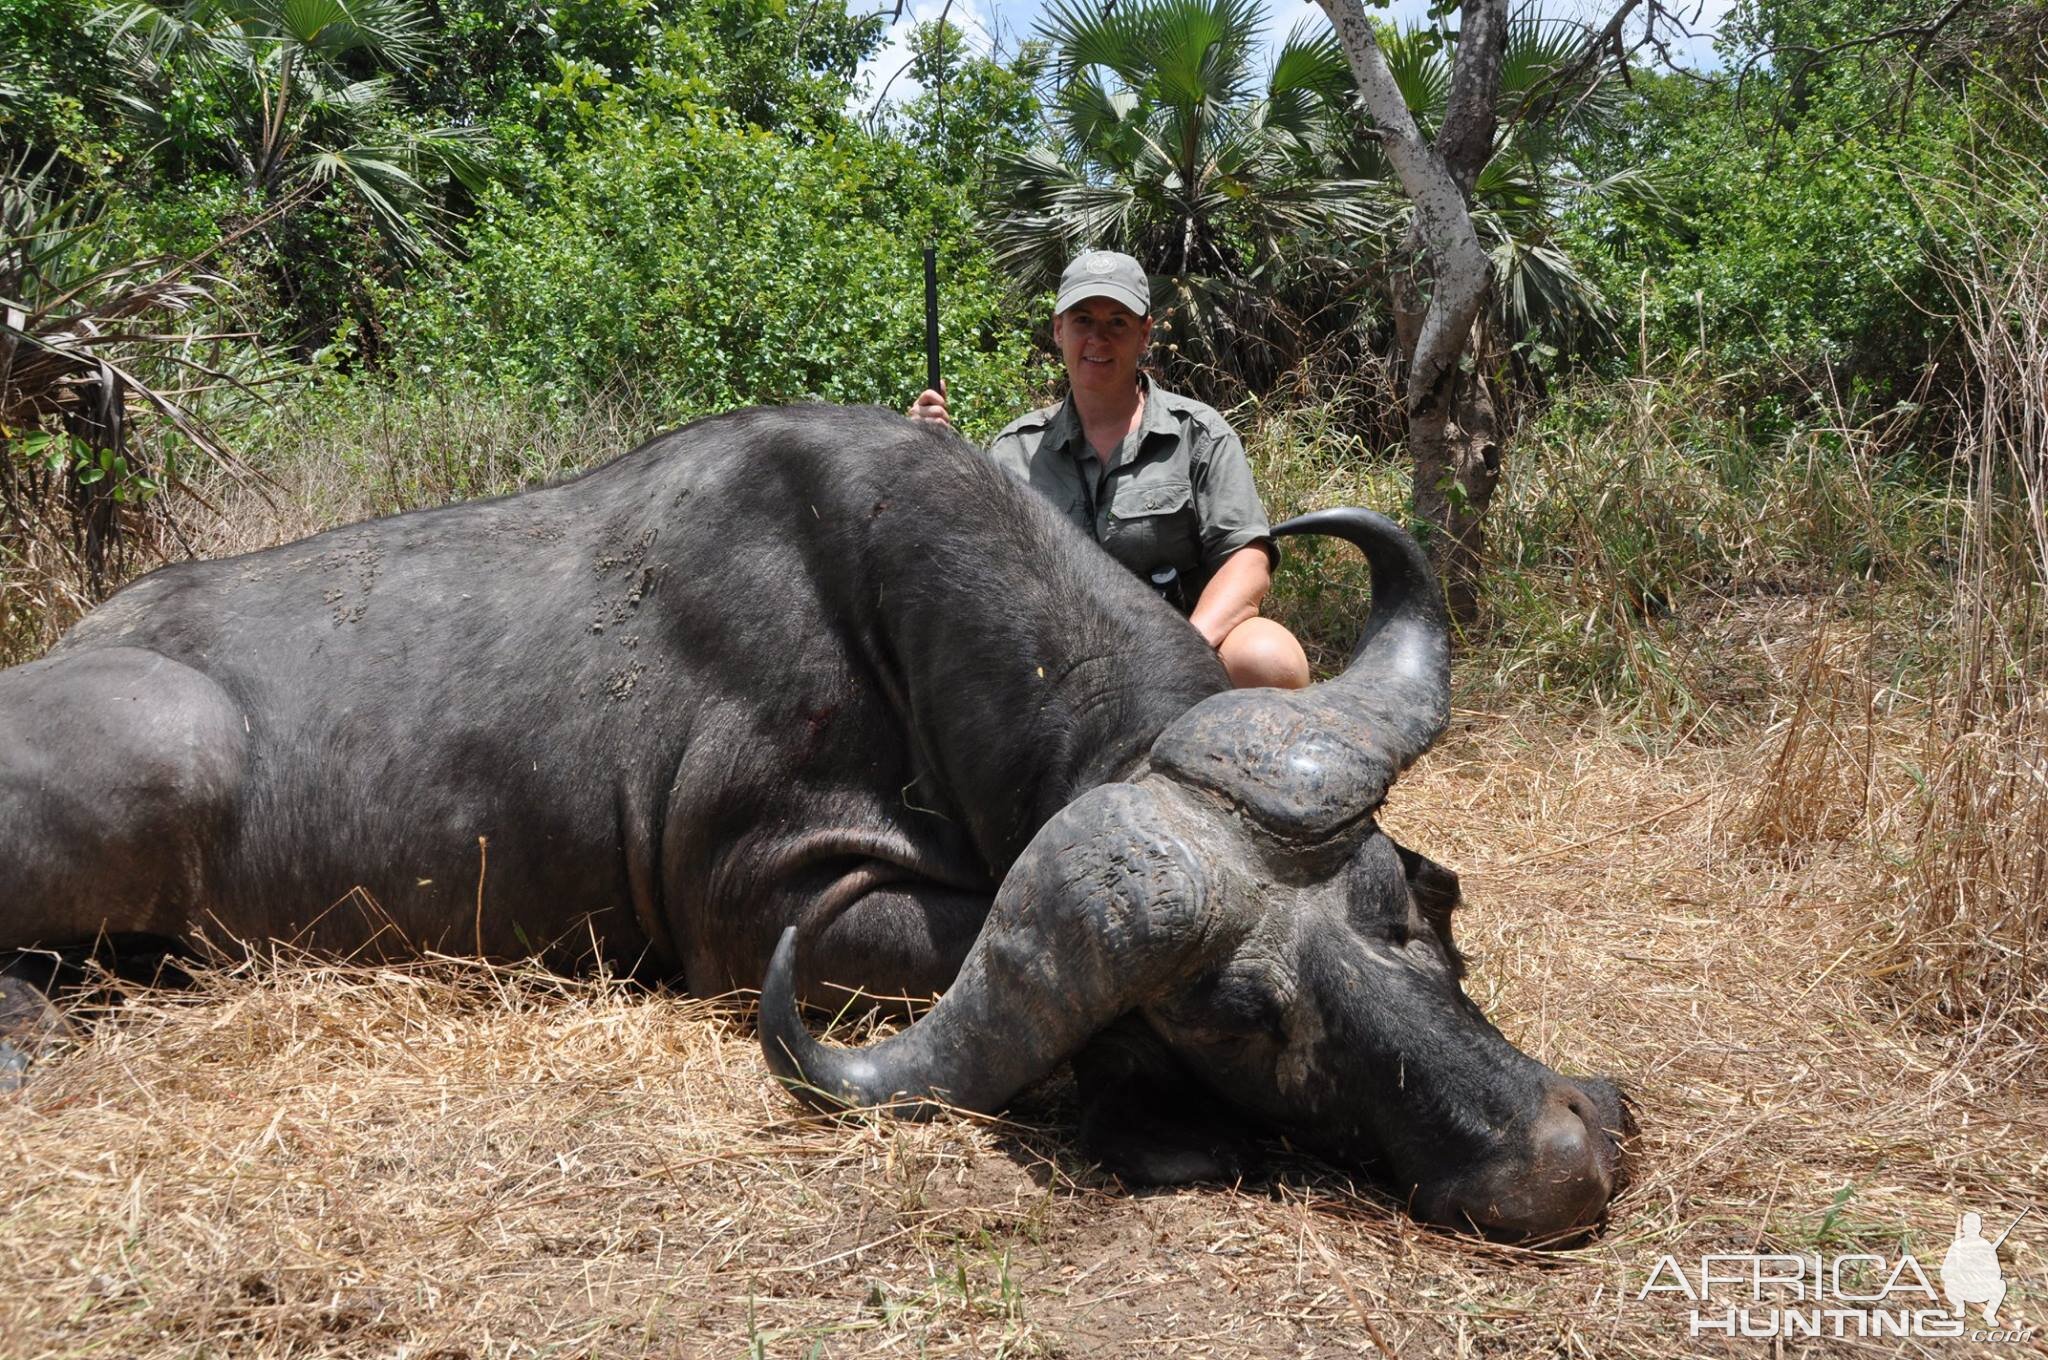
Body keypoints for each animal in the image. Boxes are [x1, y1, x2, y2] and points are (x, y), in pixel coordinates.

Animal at [4, 403, 1630, 1245]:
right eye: (1240, 1016)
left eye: (1400, 911)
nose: (1560, 1153)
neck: (899, 638)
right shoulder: (772, 925)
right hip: (166, 759)